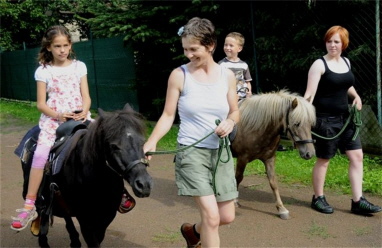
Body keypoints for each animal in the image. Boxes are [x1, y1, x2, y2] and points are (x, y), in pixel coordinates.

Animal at [230, 89, 316, 219]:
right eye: (296, 123)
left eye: (310, 124)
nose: (309, 153)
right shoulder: (242, 158)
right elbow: (238, 177)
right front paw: (235, 201)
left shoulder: (269, 159)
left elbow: (273, 183)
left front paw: (281, 208)